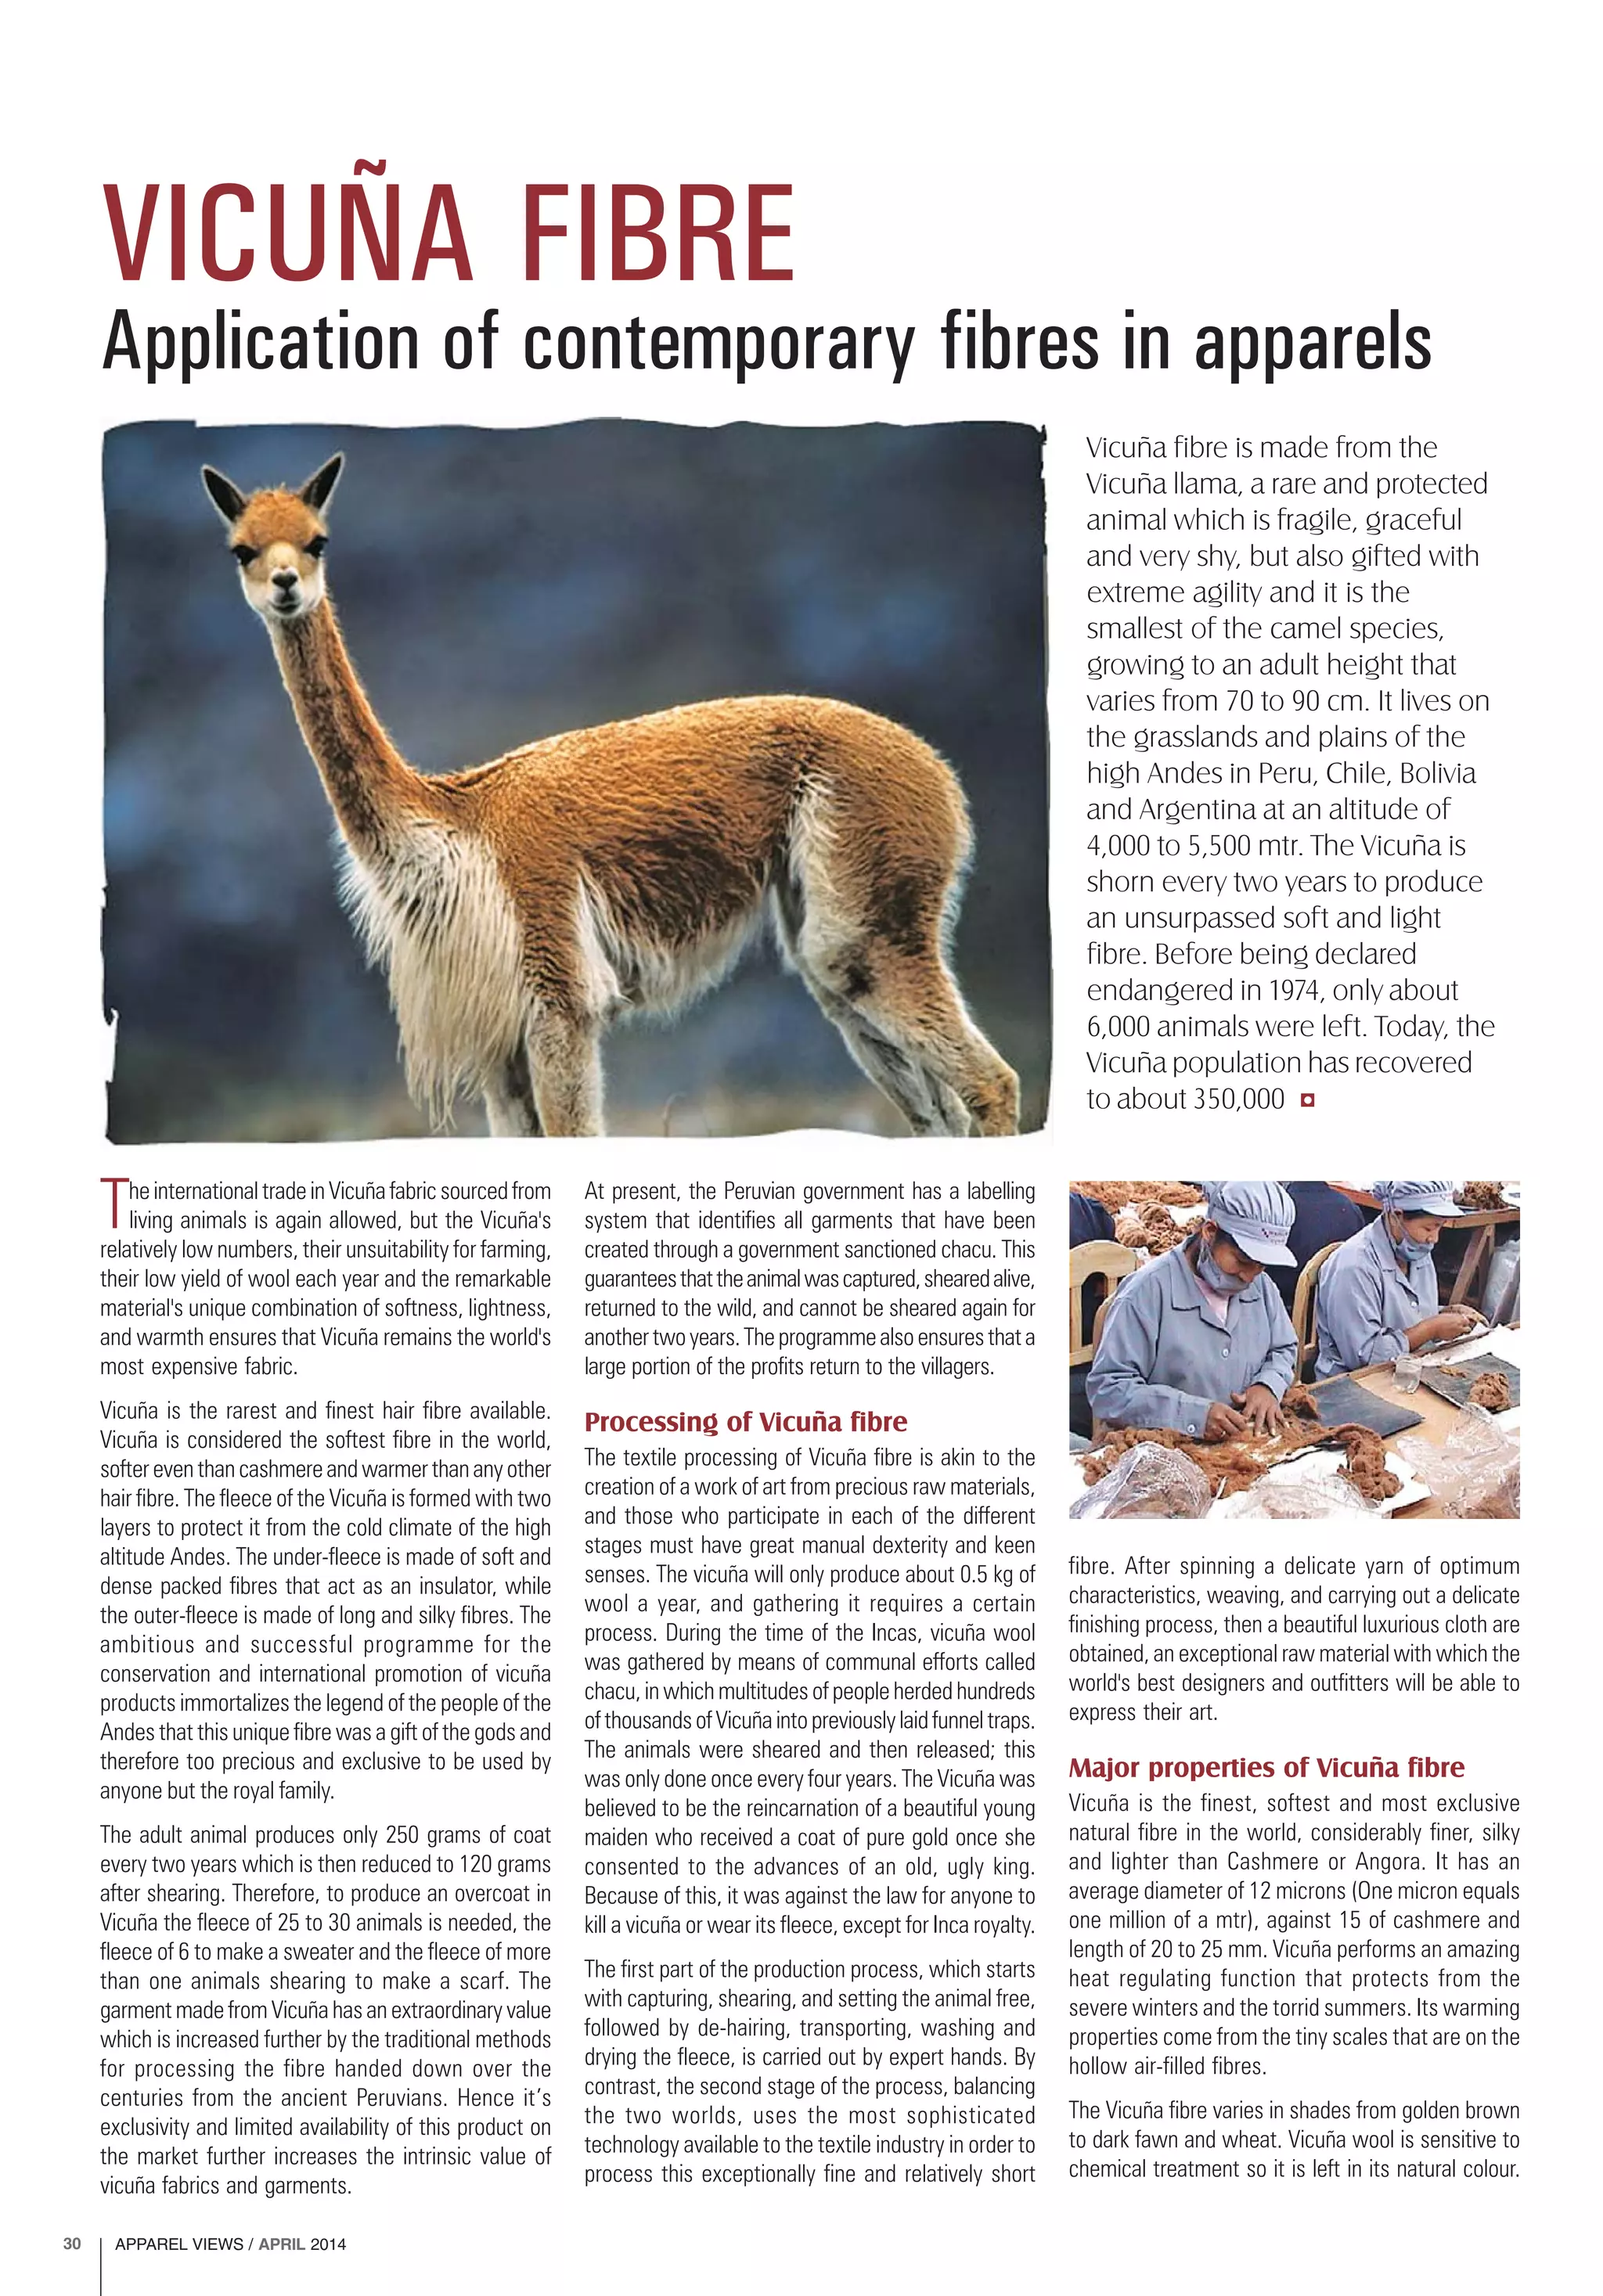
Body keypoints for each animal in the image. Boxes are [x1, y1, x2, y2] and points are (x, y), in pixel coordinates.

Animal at [200, 454, 1021, 1140]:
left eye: (317, 542)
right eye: (243, 549)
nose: (286, 587)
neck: (450, 827)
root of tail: (939, 771)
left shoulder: (556, 989)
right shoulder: (498, 1038)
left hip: (870, 907)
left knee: (987, 1081)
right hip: (829, 927)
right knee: (934, 1110)